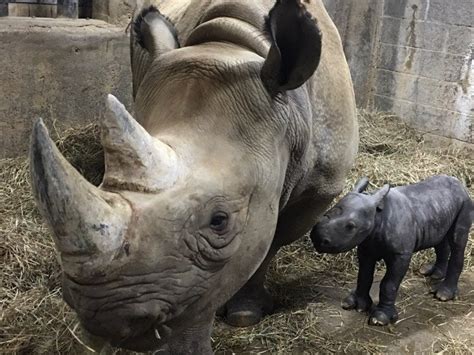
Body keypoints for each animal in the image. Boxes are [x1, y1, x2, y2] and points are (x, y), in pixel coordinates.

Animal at [29, 0, 358, 354]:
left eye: (219, 221)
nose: (105, 318)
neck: (230, 47)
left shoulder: (320, 188)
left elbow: (267, 246)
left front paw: (244, 315)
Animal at [312, 177, 470, 326]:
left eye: (351, 226)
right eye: (326, 213)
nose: (317, 237)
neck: (377, 214)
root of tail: (460, 184)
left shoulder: (400, 254)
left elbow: (389, 284)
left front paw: (380, 319)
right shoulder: (366, 247)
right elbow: (364, 276)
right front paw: (356, 305)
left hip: (465, 202)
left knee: (457, 242)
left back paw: (443, 295)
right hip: (439, 207)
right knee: (440, 239)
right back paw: (432, 274)